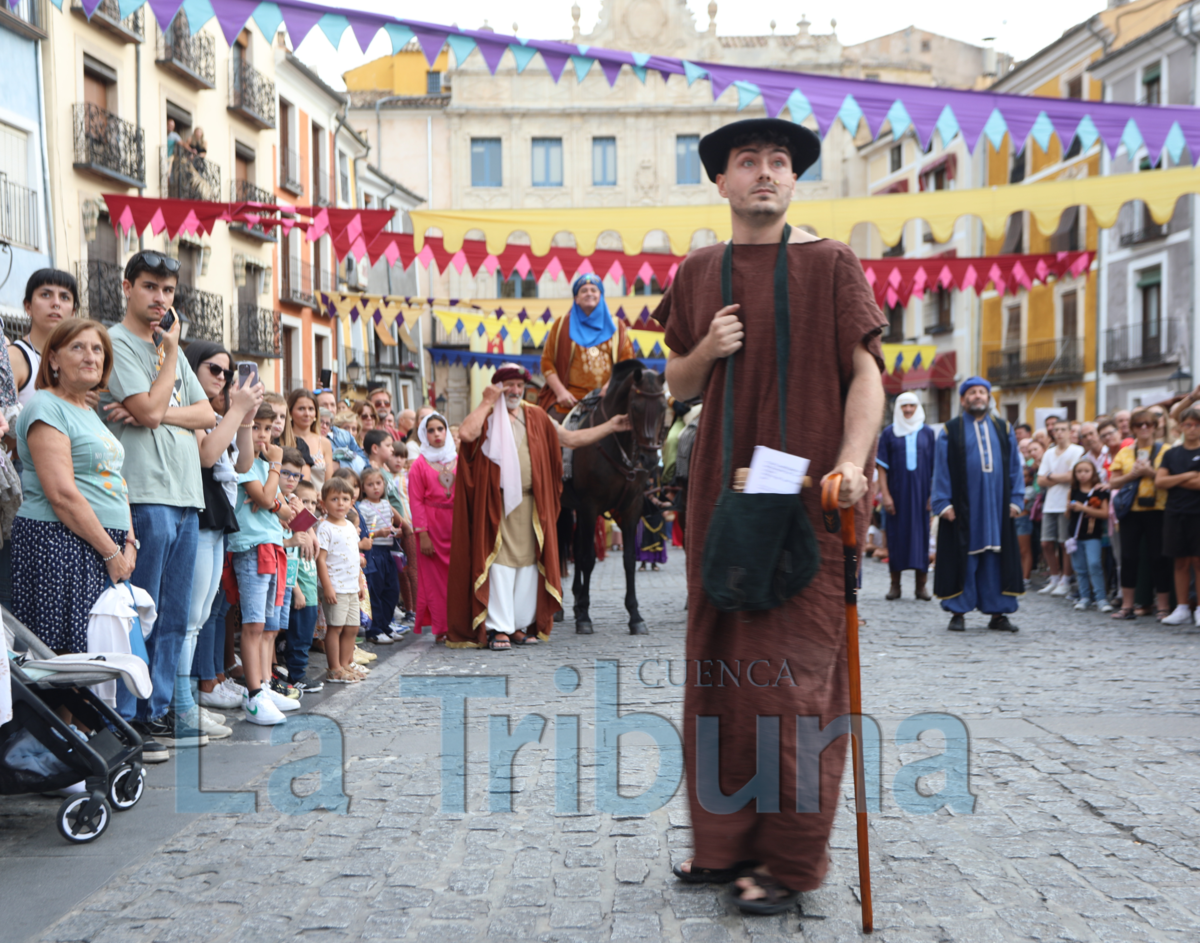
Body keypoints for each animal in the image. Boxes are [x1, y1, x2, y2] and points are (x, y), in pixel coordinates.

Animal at [559, 357, 672, 633]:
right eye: (635, 406)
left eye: (663, 406)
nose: (649, 459)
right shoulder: (590, 506)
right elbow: (588, 558)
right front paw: (585, 617)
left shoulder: (631, 508)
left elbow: (629, 558)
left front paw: (635, 616)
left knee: (575, 546)